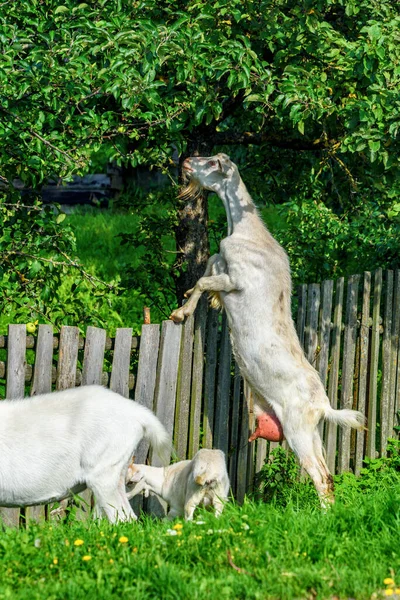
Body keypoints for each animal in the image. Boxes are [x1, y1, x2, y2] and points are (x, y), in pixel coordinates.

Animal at [170, 154, 366, 506]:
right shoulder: (222, 263)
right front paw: (189, 303)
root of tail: (324, 405)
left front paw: (181, 313)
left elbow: (205, 279)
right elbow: (207, 268)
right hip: (312, 433)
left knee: (319, 477)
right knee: (327, 475)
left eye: (212, 161)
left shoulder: (236, 278)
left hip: (298, 429)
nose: (188, 160)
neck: (246, 230)